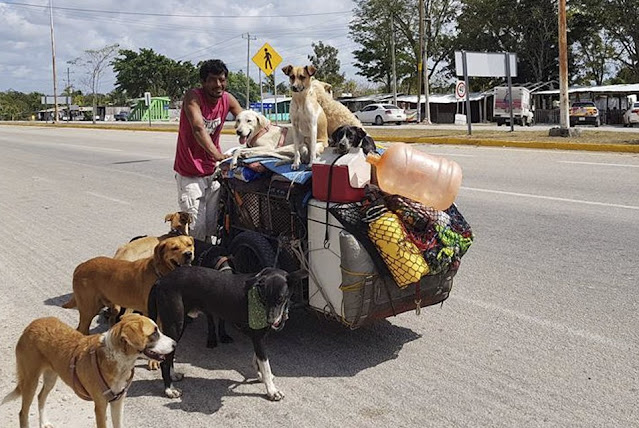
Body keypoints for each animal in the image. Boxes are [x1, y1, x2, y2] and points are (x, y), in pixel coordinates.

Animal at [1, 314, 176, 428]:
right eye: (154, 333)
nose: (175, 344)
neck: (119, 360)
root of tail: (31, 325)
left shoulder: (118, 402)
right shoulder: (100, 406)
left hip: (51, 376)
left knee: (41, 396)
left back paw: (44, 423)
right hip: (30, 380)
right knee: (23, 413)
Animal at [64, 236, 196, 332]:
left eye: (189, 244)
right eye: (174, 248)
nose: (188, 254)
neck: (159, 273)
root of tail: (81, 266)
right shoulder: (150, 312)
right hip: (89, 309)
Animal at [149, 266, 304, 400]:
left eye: (280, 298)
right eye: (264, 298)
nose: (271, 321)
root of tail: (161, 280)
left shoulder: (259, 338)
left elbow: (258, 359)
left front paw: (260, 375)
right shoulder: (258, 337)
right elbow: (265, 364)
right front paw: (272, 390)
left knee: (169, 356)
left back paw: (173, 376)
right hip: (175, 325)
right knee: (164, 362)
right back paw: (169, 390)